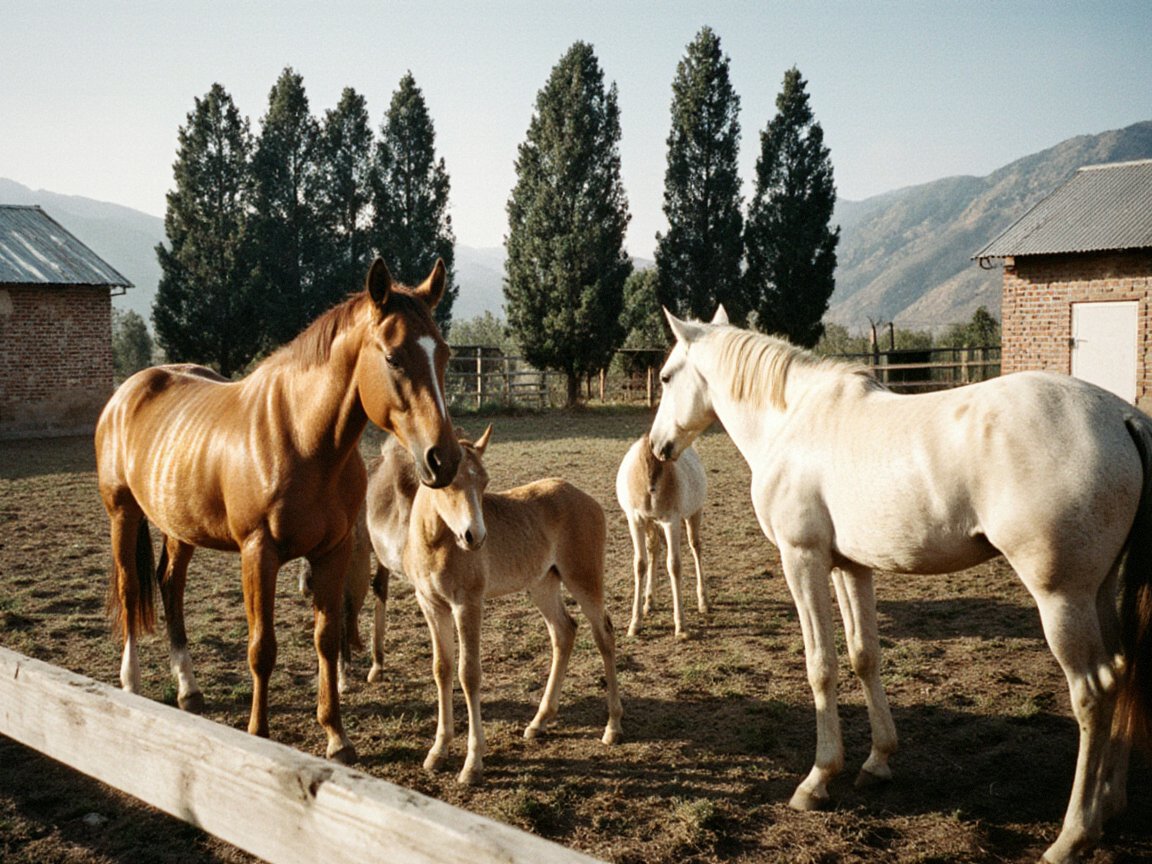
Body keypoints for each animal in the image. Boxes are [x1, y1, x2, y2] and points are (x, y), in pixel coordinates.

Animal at [94, 258, 462, 763]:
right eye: (392, 357)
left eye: (443, 354)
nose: (442, 459)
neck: (302, 439)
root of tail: (128, 390)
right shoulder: (259, 554)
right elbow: (262, 648)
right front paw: (258, 731)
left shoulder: (333, 552)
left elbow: (326, 640)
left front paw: (336, 737)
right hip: (123, 513)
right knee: (132, 589)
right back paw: (130, 681)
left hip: (179, 527)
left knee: (170, 587)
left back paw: (188, 688)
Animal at [403, 426, 624, 785]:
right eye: (448, 481)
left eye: (485, 481)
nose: (475, 537)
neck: (436, 542)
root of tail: (584, 497)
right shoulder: (431, 605)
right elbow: (442, 669)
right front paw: (437, 752)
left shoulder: (467, 604)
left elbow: (469, 674)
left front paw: (472, 763)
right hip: (543, 584)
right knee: (564, 632)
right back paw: (539, 721)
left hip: (584, 579)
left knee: (603, 635)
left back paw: (613, 726)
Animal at [615, 433, 708, 639]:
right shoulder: (635, 519)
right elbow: (640, 564)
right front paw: (635, 623)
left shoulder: (671, 520)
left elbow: (674, 565)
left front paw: (681, 627)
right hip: (652, 522)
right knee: (654, 548)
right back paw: (649, 602)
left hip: (694, 512)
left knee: (696, 546)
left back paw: (703, 602)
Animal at [647, 307, 1152, 864]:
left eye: (666, 377)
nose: (657, 447)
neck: (793, 418)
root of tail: (1122, 418)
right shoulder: (850, 566)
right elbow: (863, 656)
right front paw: (877, 762)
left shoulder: (802, 560)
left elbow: (821, 666)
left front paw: (817, 779)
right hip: (1097, 592)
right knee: (1123, 672)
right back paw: (1110, 803)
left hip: (1062, 599)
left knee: (1093, 692)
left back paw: (1073, 834)